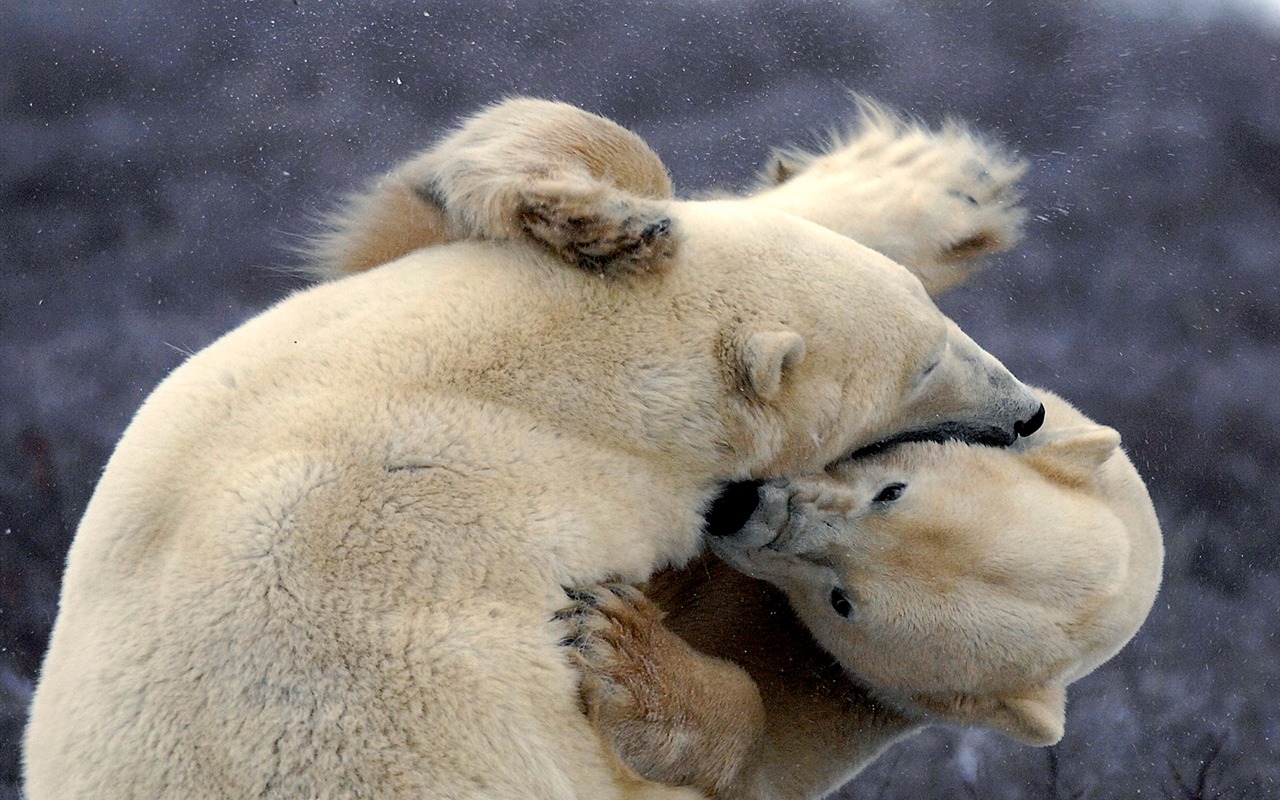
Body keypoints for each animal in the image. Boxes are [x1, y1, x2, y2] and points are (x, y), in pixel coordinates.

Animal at [565, 389, 1167, 798]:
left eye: (843, 603)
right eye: (891, 492)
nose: (741, 508)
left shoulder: (854, 695)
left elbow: (760, 766)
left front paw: (617, 641)